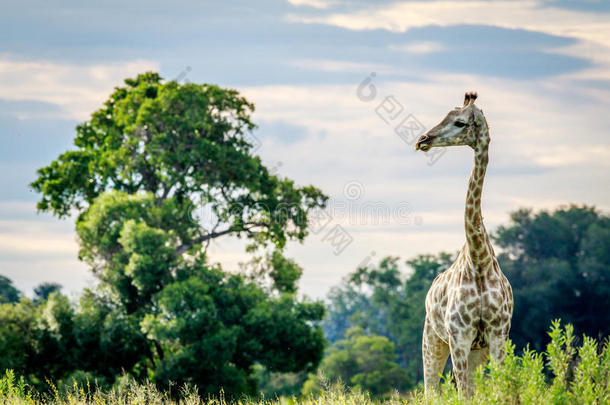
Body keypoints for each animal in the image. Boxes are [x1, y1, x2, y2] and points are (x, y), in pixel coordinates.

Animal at [414, 90, 512, 394]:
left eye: (459, 122)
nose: (422, 140)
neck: (479, 260)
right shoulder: (459, 336)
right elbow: (464, 394)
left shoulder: (497, 336)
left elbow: (499, 390)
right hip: (432, 341)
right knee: (431, 390)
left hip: (476, 352)